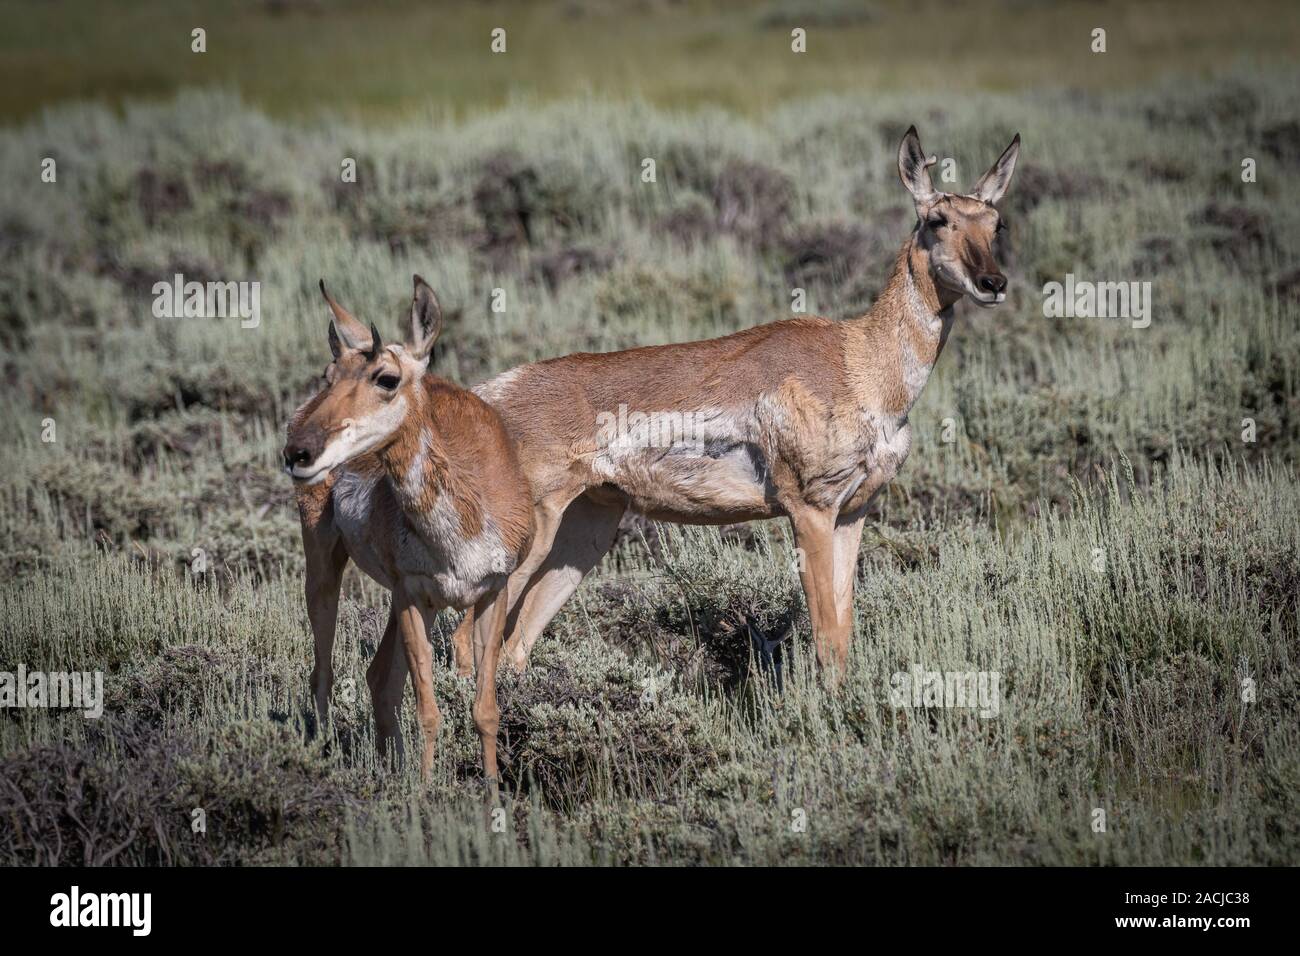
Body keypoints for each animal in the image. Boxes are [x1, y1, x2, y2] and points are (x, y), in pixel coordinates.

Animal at [284, 273, 533, 780]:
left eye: (387, 378)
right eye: (329, 375)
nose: (298, 451)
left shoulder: (491, 593)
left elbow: (485, 709)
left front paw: (491, 792)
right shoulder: (410, 594)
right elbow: (428, 708)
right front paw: (425, 791)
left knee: (378, 677)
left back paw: (387, 762)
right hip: (325, 568)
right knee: (325, 672)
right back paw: (324, 755)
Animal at [452, 127, 1019, 681]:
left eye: (996, 222)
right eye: (937, 219)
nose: (993, 283)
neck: (857, 361)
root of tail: (486, 394)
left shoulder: (853, 512)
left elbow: (843, 630)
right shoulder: (809, 512)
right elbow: (826, 637)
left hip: (585, 533)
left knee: (513, 647)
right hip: (531, 536)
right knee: (464, 643)